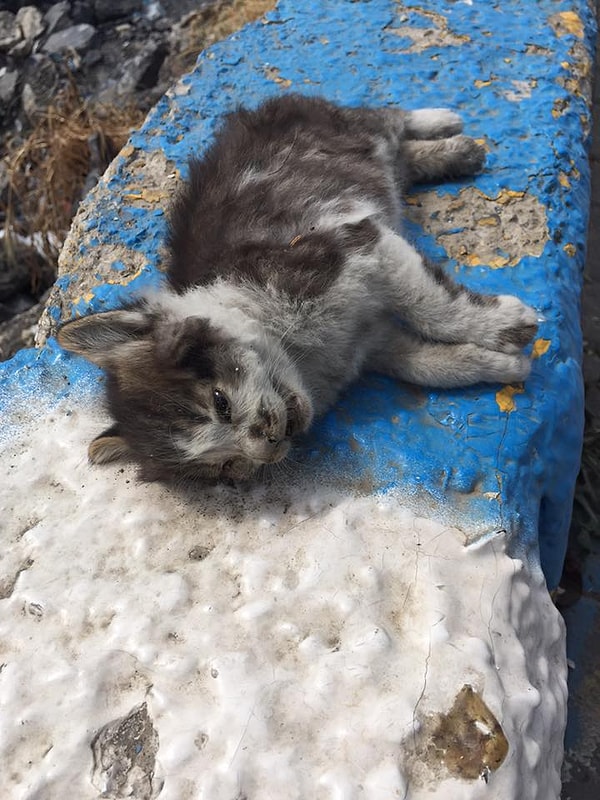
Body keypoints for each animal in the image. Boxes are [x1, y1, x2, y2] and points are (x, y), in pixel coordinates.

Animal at [58, 94, 540, 482]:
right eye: (227, 467)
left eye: (220, 402)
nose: (269, 448)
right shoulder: (374, 342)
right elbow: (429, 364)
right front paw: (502, 366)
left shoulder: (354, 247)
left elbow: (434, 305)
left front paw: (507, 326)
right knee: (400, 158)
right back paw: (458, 152)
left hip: (348, 130)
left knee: (386, 117)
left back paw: (443, 122)